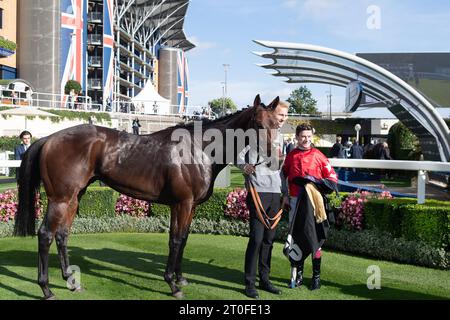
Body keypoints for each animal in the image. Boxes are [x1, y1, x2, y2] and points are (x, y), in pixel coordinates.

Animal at [14, 94, 284, 298]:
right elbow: (176, 240)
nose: (275, 159)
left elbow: (183, 239)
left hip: (75, 196)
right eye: (259, 124)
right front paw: (172, 284)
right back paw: (46, 289)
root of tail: (48, 139)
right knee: (45, 235)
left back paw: (70, 279)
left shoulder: (190, 206)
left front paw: (180, 278)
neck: (199, 149)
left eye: (277, 124)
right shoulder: (182, 204)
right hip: (59, 199)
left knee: (62, 235)